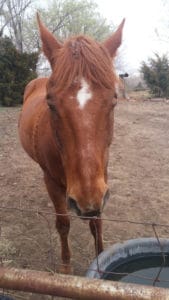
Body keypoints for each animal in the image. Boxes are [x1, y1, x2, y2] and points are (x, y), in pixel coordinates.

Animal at [18, 15, 124, 274]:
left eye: (114, 100)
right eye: (50, 102)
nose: (85, 199)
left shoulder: (102, 181)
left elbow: (97, 224)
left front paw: (100, 263)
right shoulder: (53, 182)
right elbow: (63, 223)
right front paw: (66, 267)